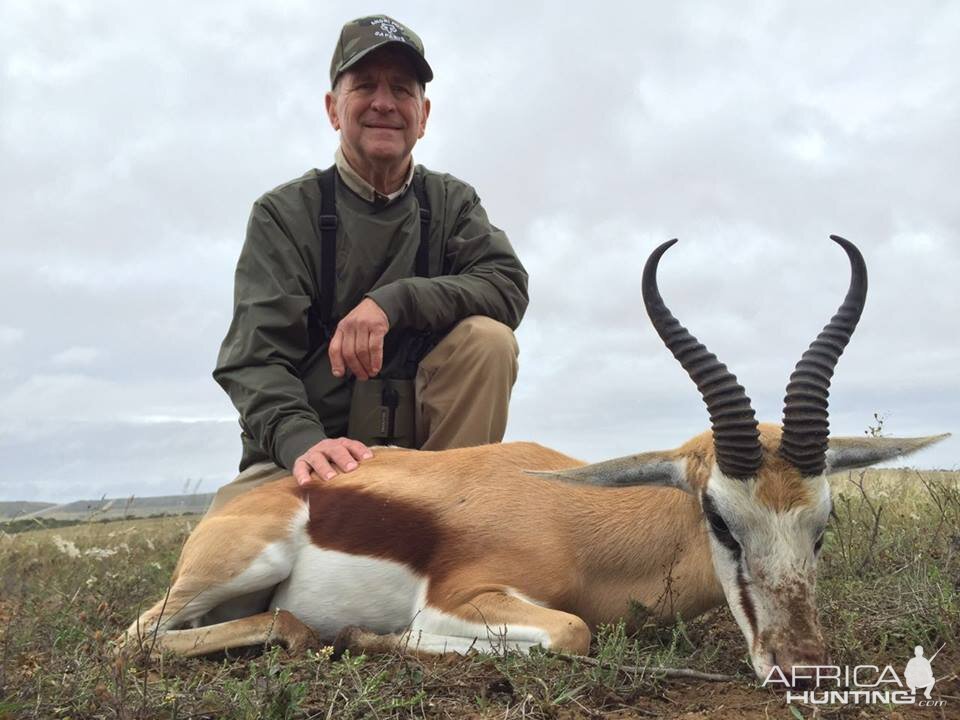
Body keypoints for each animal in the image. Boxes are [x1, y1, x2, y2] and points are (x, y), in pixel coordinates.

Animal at [122, 238, 944, 680]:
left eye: (822, 525)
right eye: (720, 519)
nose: (803, 666)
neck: (579, 524)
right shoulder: (462, 599)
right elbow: (572, 632)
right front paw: (366, 637)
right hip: (237, 570)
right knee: (141, 638)